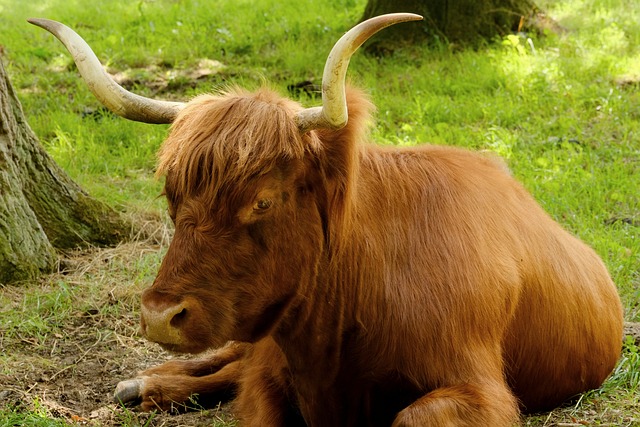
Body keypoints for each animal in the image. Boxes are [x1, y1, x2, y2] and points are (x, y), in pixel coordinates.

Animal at [31, 14, 624, 427]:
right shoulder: (271, 371)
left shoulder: (479, 391)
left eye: (263, 201)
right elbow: (252, 392)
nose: (159, 316)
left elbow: (413, 415)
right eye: (172, 196)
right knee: (230, 359)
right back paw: (146, 384)